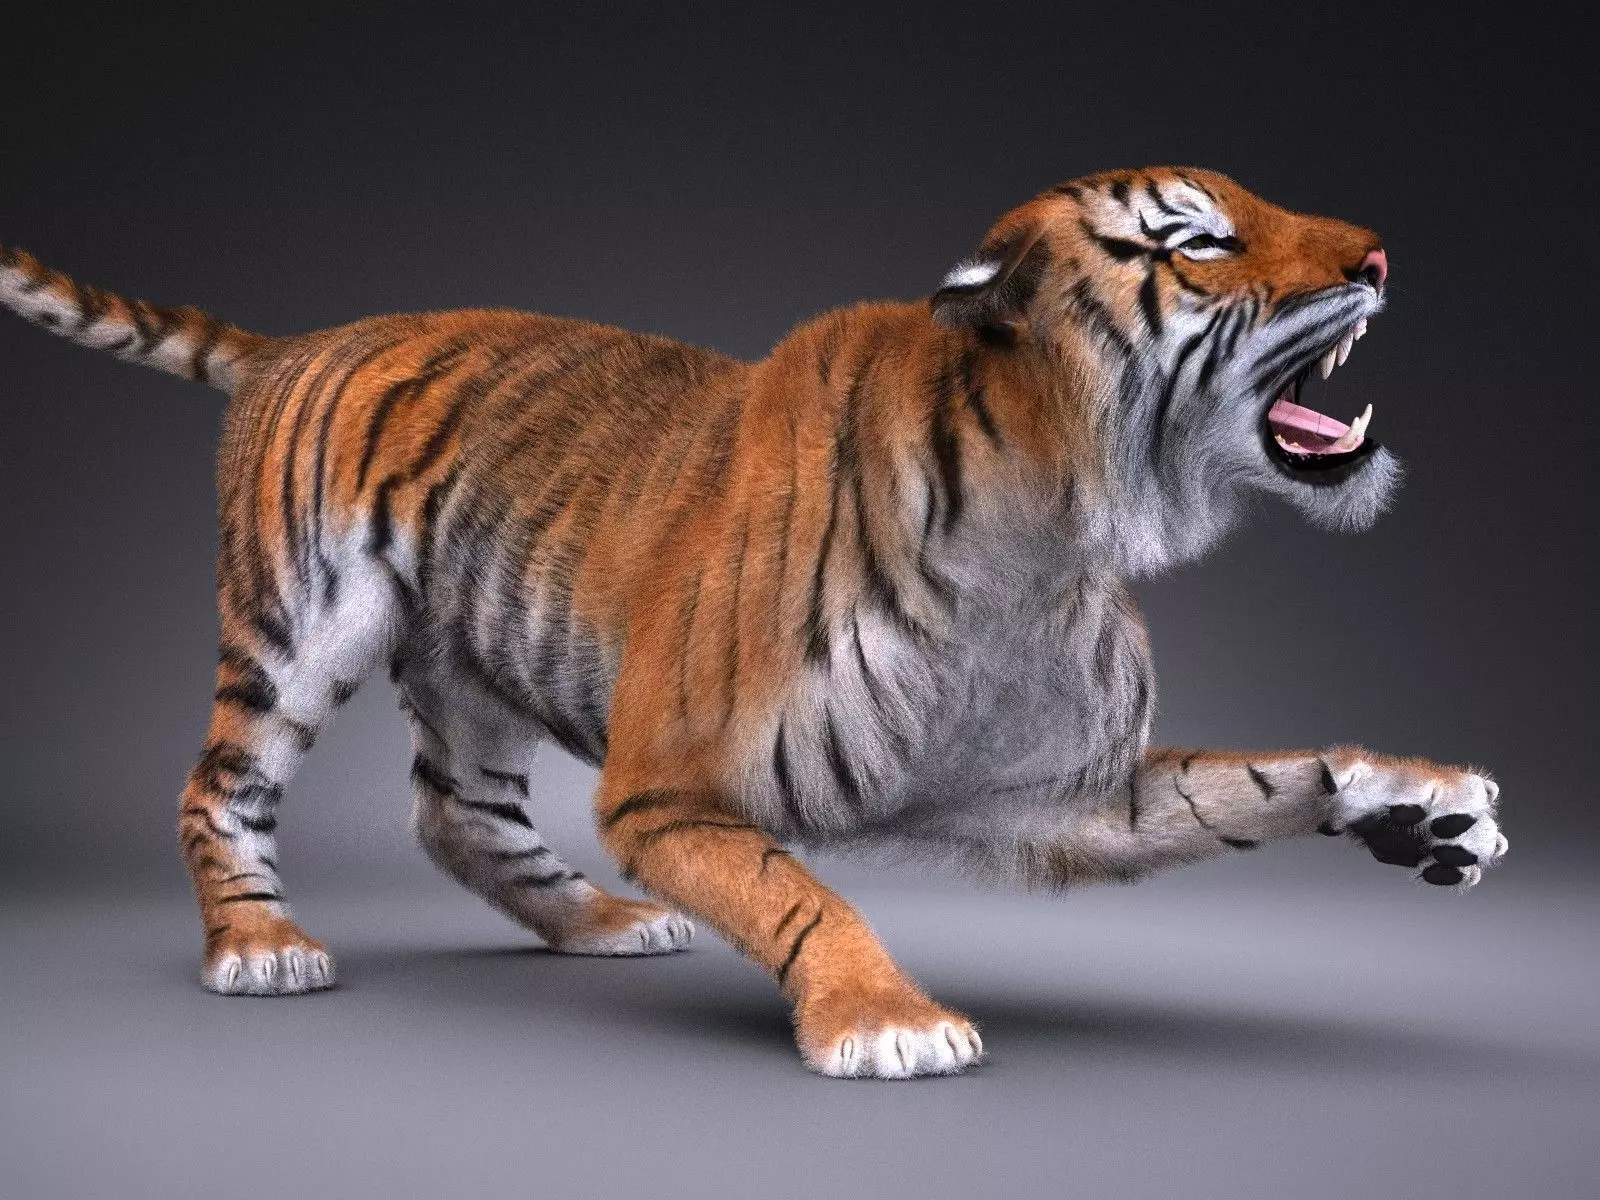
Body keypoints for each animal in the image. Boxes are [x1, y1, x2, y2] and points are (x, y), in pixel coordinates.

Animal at [0, 166, 1507, 1079]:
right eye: (1199, 238)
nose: (1382, 254)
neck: (1048, 524)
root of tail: (298, 342)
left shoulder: (1062, 796)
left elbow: (1240, 784)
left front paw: (1419, 803)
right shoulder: (667, 787)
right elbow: (800, 893)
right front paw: (888, 1022)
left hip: (477, 665)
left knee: (458, 815)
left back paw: (598, 925)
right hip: (300, 631)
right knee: (221, 787)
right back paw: (258, 947)